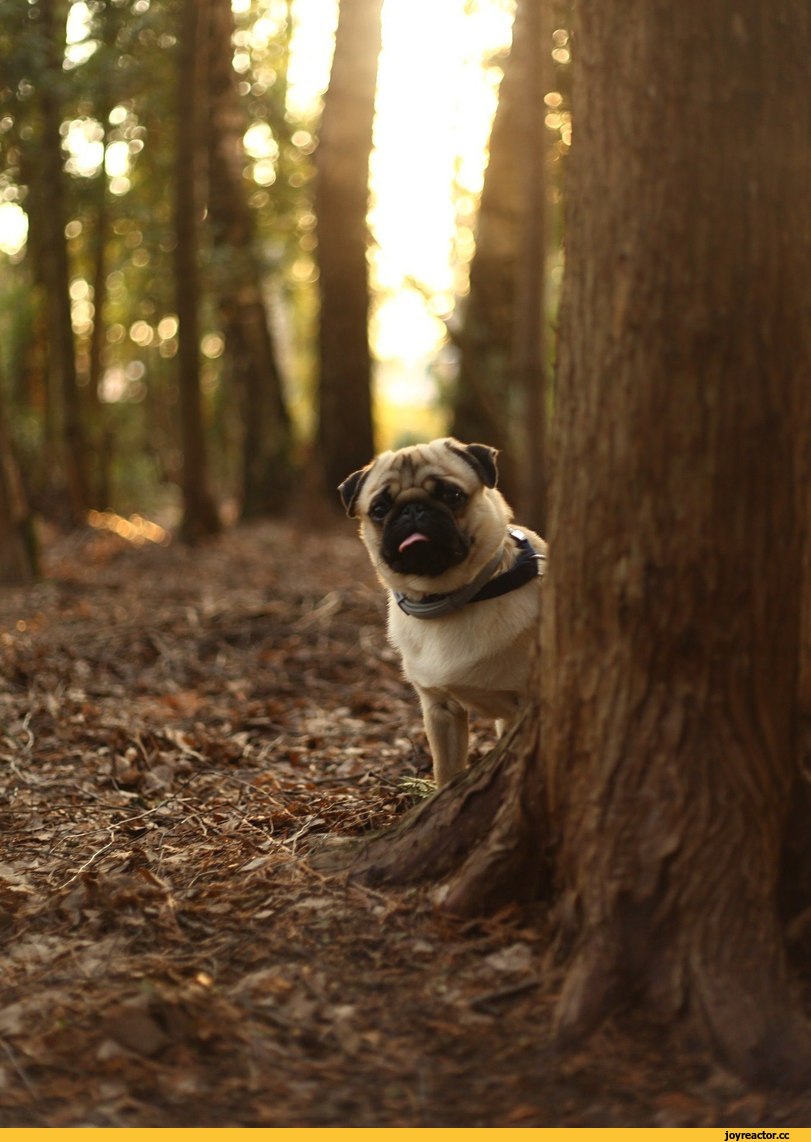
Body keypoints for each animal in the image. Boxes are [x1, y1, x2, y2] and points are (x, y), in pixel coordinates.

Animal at [340, 436, 550, 785]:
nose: (412, 508)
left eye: (451, 496)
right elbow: (446, 770)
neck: (449, 598)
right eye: (379, 509)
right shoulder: (439, 709)